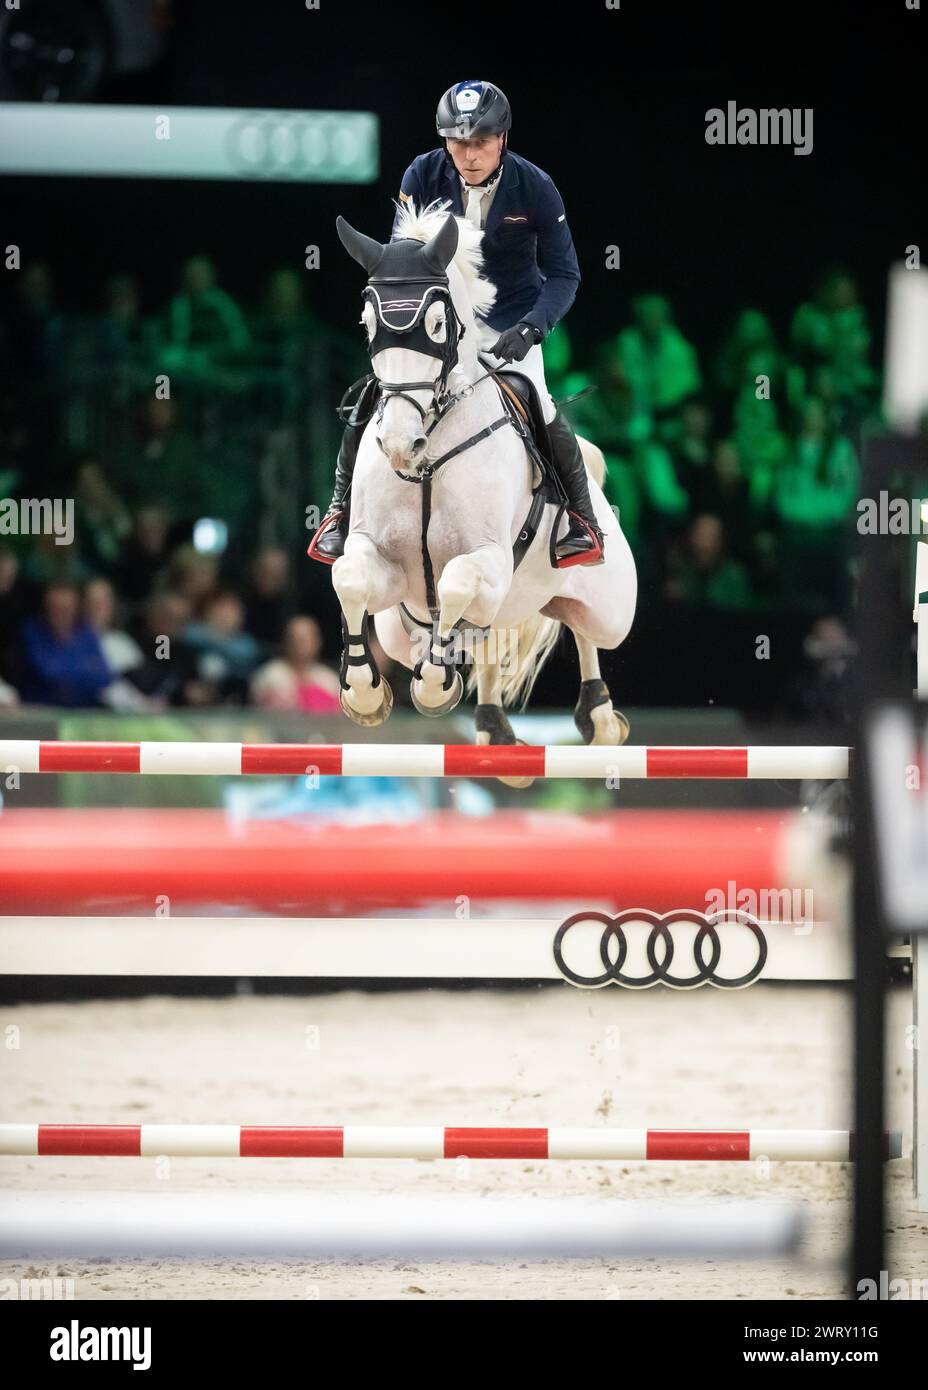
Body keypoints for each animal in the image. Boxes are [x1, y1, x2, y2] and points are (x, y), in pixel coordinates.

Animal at [327, 201, 639, 756]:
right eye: (367, 324)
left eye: (436, 324)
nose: (401, 446)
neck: (429, 460)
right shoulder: (379, 559)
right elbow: (350, 577)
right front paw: (364, 694)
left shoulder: (490, 559)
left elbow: (455, 583)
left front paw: (434, 685)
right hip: (400, 631)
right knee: (489, 639)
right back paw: (493, 726)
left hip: (610, 610)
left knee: (587, 635)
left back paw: (598, 716)